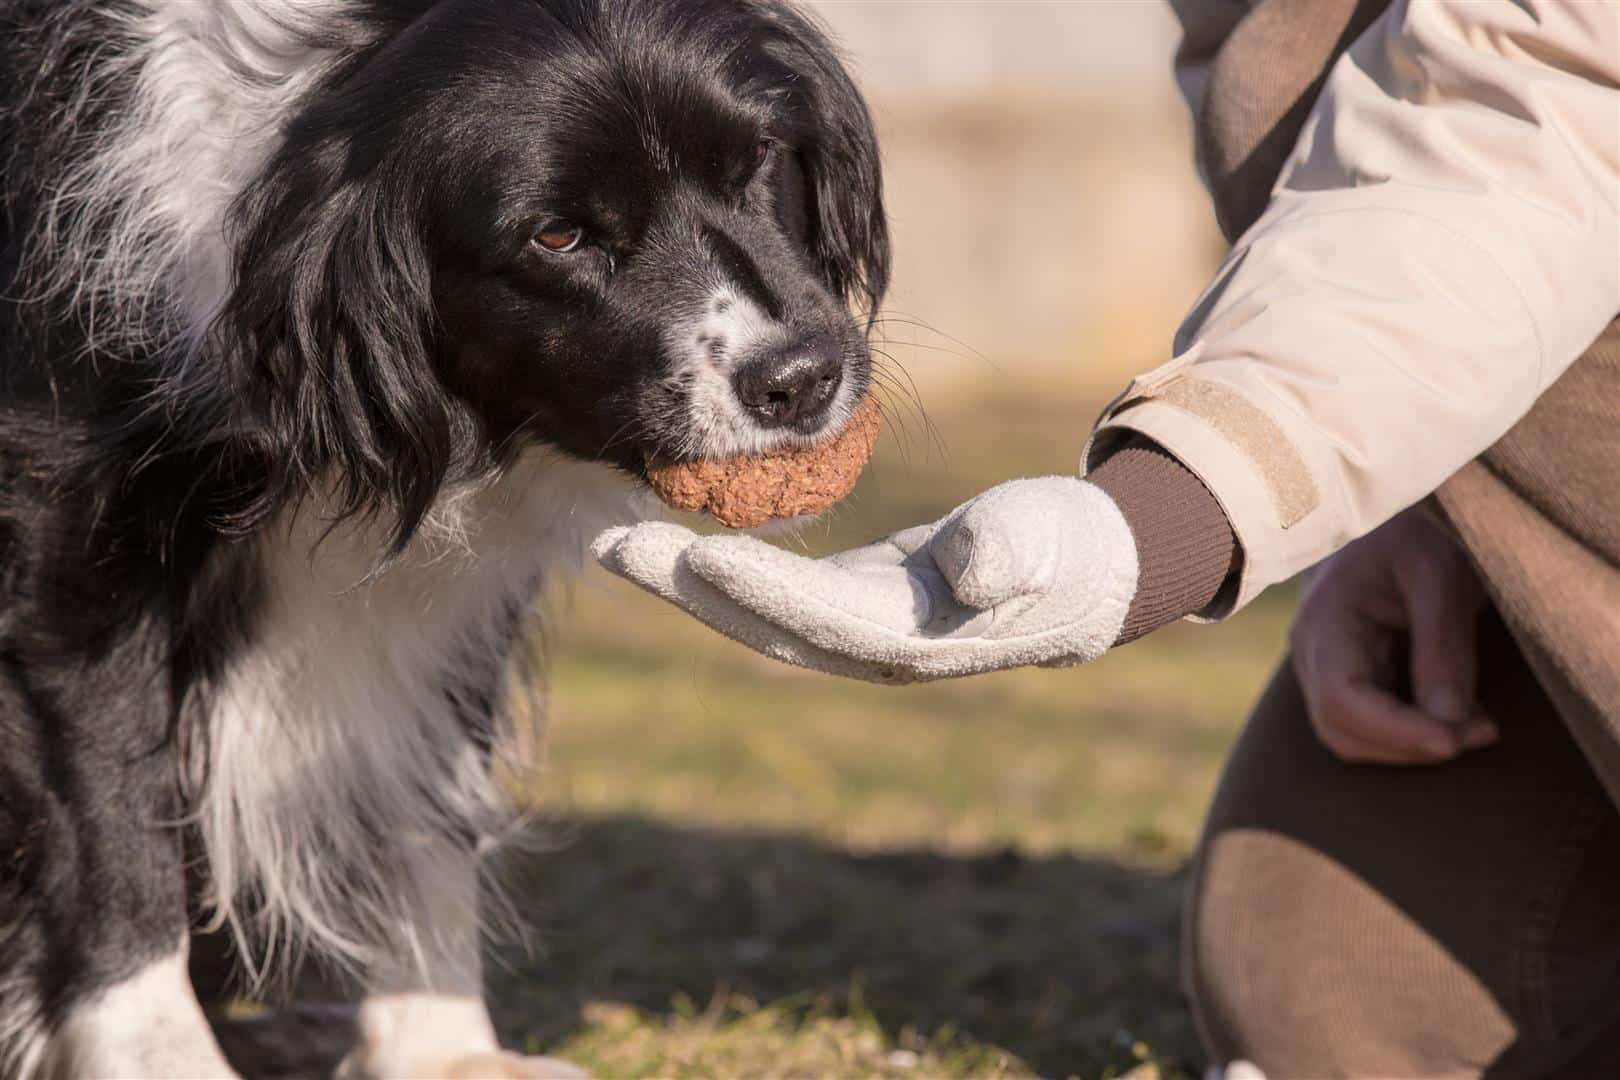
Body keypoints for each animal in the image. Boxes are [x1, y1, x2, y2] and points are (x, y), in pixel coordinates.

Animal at [0, 2, 887, 1075]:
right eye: (557, 234)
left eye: (757, 160)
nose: (800, 378)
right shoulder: (59, 520)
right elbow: (108, 811)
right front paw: (158, 1056)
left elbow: (427, 786)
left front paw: (444, 1047)